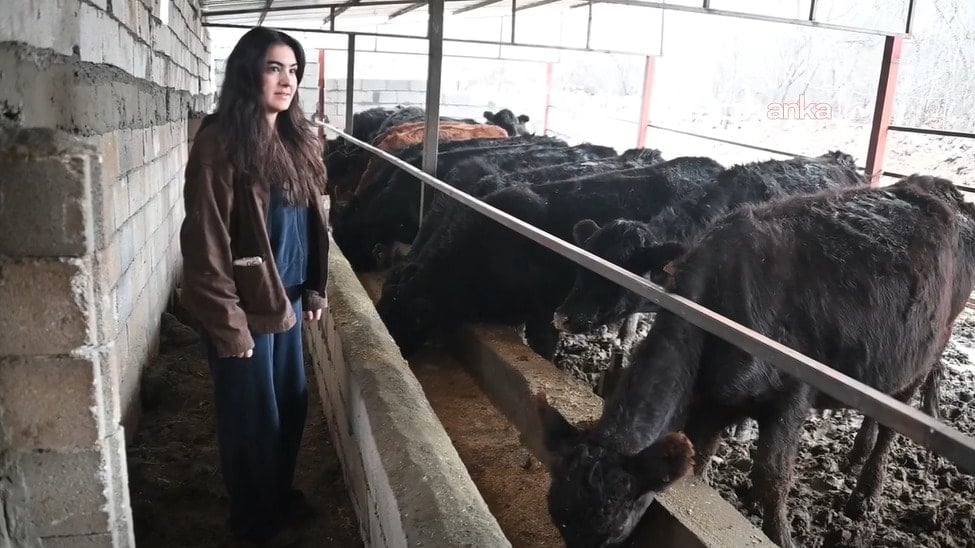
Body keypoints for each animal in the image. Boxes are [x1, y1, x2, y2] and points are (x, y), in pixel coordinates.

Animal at [535, 174, 975, 548]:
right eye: (558, 517)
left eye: (611, 532)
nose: (561, 316)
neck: (717, 310)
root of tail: (939, 190)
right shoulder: (714, 401)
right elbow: (700, 461)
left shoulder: (793, 394)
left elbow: (771, 478)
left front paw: (780, 536)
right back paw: (855, 455)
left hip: (927, 351)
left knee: (892, 422)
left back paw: (866, 492)